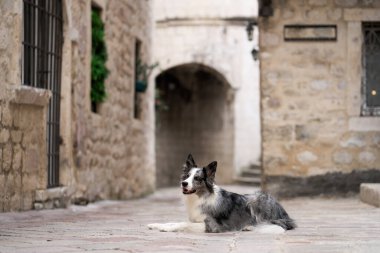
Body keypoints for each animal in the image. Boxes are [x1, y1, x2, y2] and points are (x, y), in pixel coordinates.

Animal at [147, 154, 296, 233]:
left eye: (197, 178)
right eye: (187, 176)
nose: (184, 183)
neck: (201, 197)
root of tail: (284, 213)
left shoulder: (211, 225)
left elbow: (183, 224)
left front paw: (165, 229)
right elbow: (173, 221)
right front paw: (156, 225)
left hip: (257, 198)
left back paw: (249, 226)